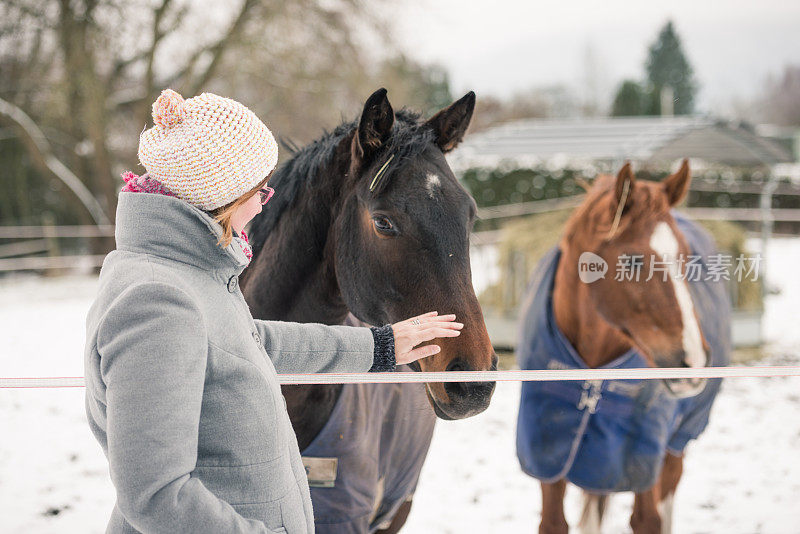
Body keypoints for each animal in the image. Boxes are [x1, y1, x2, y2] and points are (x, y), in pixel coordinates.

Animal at [520, 162, 732, 534]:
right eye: (632, 261)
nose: (693, 361)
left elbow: (648, 520)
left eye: (686, 257)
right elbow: (554, 522)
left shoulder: (641, 461)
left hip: (677, 443)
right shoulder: (550, 459)